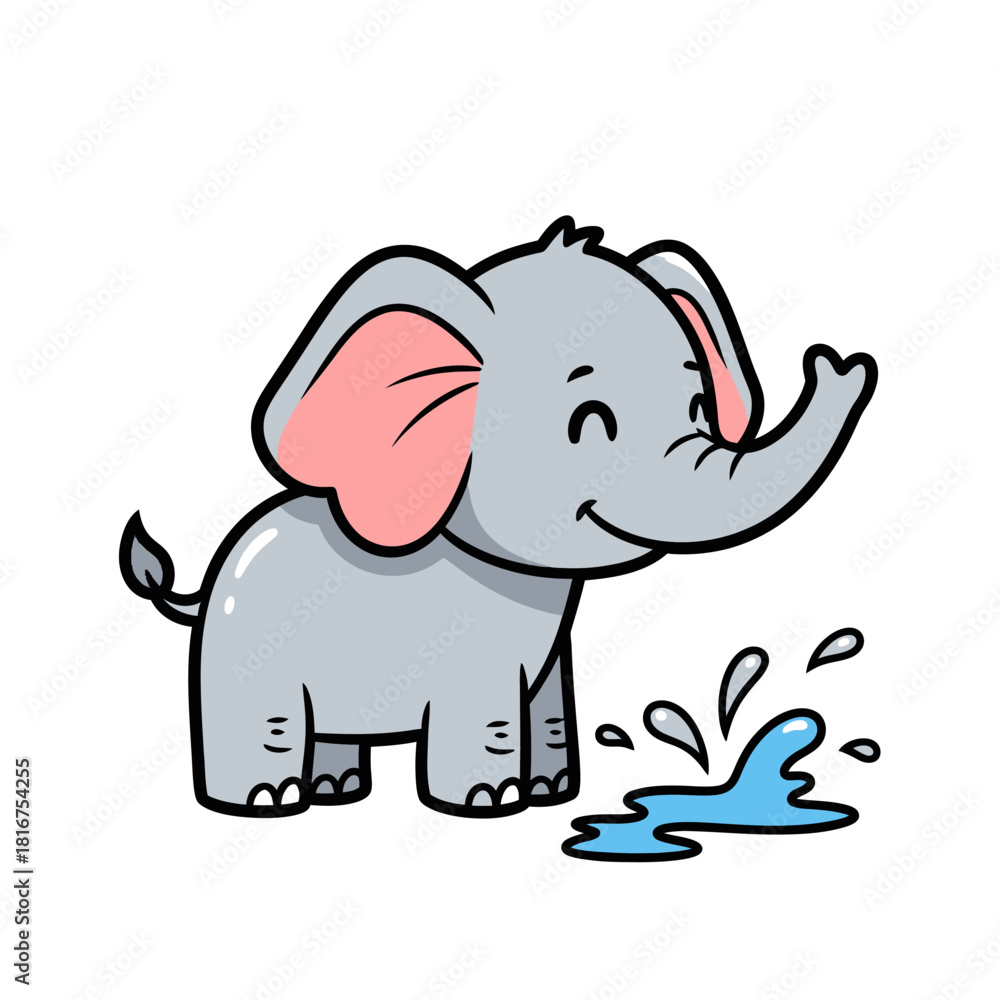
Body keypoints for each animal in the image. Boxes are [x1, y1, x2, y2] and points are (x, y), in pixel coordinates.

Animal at [120, 217, 877, 819]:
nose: (838, 363)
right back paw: (266, 802)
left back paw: (336, 790)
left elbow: (543, 701)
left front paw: (550, 791)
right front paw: (491, 802)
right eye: (587, 423)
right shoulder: (466, 644)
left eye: (699, 407)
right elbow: (483, 709)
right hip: (242, 646)